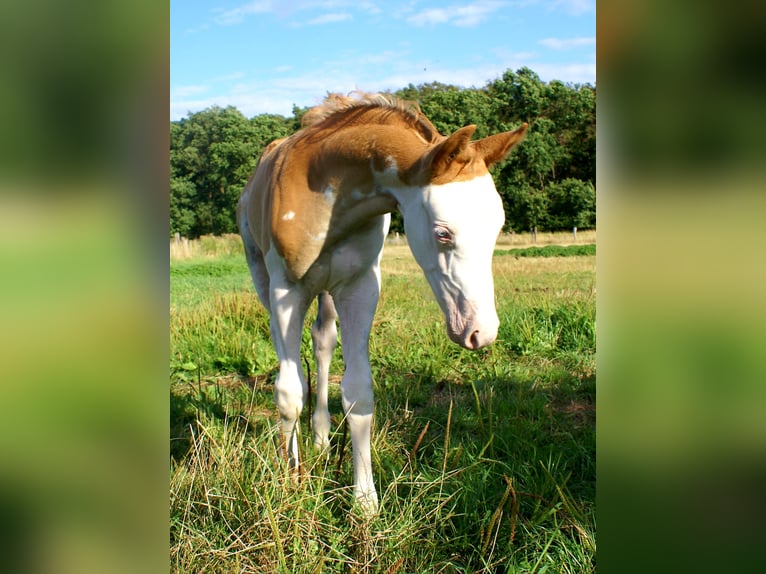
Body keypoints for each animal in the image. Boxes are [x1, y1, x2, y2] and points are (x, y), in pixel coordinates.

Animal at [237, 92, 527, 514]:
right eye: (443, 233)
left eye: (498, 226)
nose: (481, 332)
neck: (325, 192)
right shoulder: (284, 292)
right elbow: (289, 393)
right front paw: (291, 483)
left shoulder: (360, 286)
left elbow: (359, 392)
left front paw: (364, 502)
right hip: (264, 275)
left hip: (328, 290)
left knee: (323, 342)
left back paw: (322, 439)